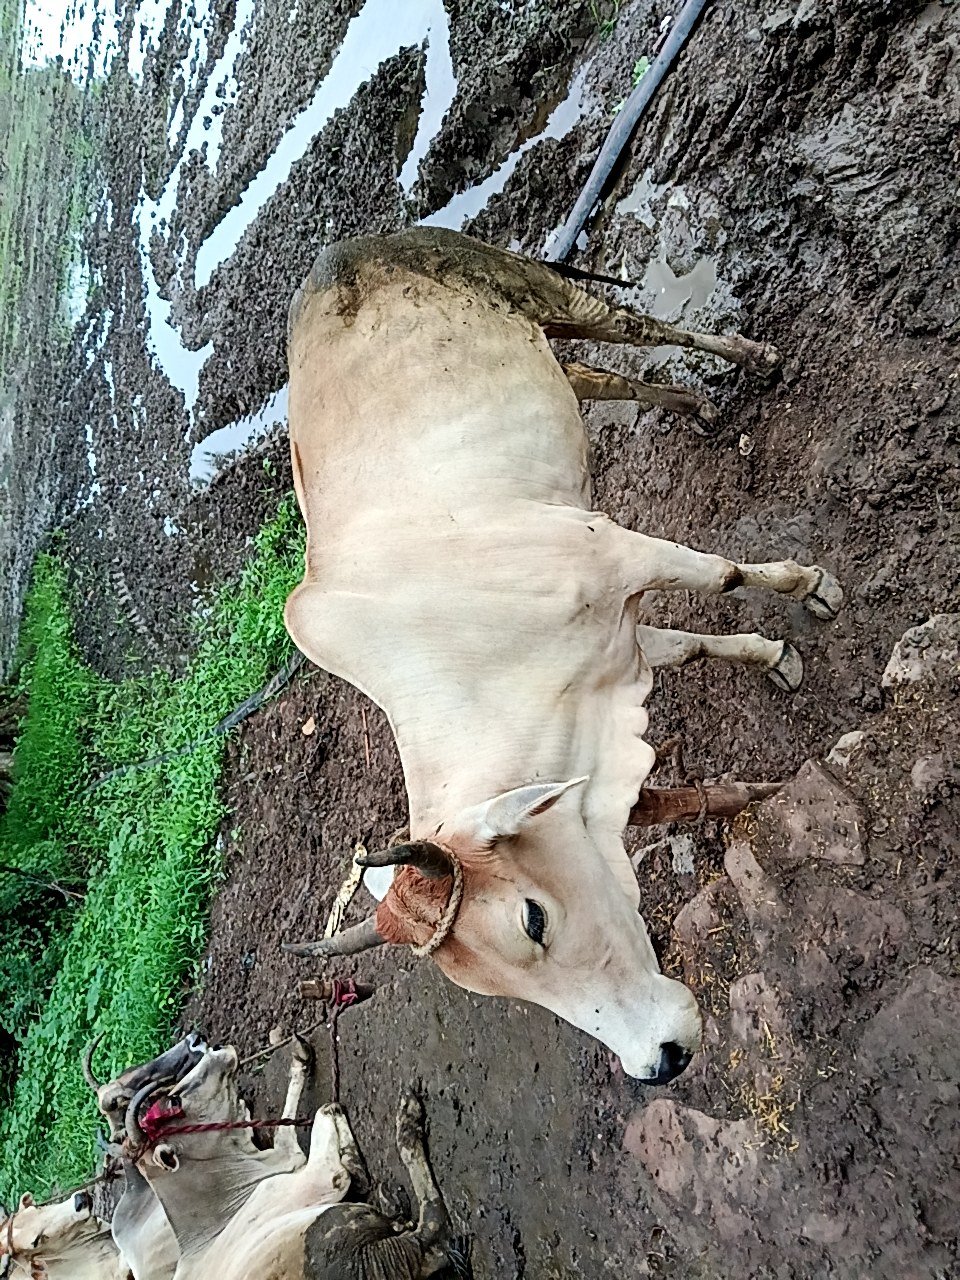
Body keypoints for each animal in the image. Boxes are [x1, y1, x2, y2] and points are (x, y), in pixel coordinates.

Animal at [121, 1042, 467, 1279]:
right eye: (174, 1099)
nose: (216, 1049)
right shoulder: (315, 1179)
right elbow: (324, 1111)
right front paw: (353, 1158)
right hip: (340, 1226)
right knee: (431, 1228)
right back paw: (407, 1120)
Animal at [281, 227, 843, 1083]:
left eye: (532, 920)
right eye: (494, 989)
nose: (660, 1062)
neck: (468, 660)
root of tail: (346, 248)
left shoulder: (618, 554)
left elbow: (724, 574)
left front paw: (810, 588)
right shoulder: (610, 670)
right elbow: (691, 655)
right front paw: (772, 657)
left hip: (549, 293)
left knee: (643, 331)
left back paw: (752, 356)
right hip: (540, 348)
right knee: (596, 376)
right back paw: (697, 404)